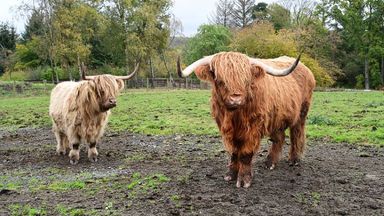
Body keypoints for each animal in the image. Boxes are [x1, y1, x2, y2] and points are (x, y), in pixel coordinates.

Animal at [177, 52, 316, 187]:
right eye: (220, 80)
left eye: (246, 80)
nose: (236, 99)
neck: (234, 116)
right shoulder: (227, 130)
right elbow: (234, 153)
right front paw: (231, 174)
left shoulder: (253, 128)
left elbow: (245, 154)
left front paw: (244, 180)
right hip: (276, 117)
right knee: (279, 138)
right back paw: (270, 163)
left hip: (301, 114)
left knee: (296, 134)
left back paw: (294, 160)